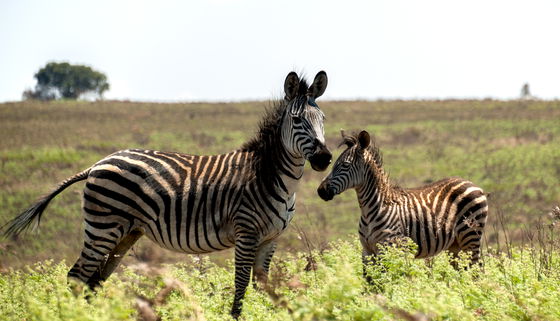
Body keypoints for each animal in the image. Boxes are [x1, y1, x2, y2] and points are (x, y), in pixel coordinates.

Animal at [2, 70, 330, 318]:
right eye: (298, 121)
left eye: (323, 120)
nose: (324, 158)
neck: (274, 178)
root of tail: (97, 163)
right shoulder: (246, 232)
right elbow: (240, 286)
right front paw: (236, 315)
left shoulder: (270, 239)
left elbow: (265, 288)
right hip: (103, 228)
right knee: (77, 277)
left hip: (125, 233)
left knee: (94, 281)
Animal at [318, 130, 488, 280]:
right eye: (334, 164)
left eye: (345, 165)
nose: (320, 191)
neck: (370, 209)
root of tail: (472, 184)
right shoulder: (367, 250)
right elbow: (369, 281)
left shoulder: (388, 248)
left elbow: (387, 280)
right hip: (456, 244)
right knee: (463, 271)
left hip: (470, 236)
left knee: (476, 271)